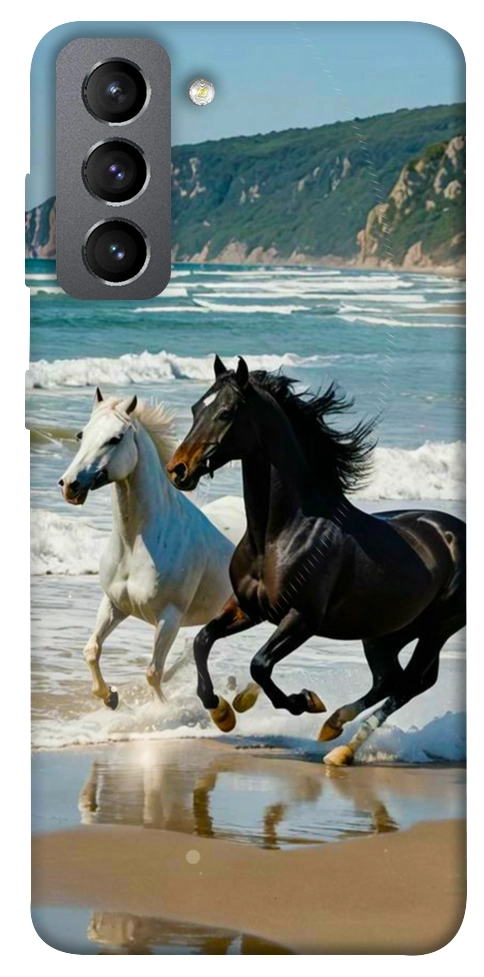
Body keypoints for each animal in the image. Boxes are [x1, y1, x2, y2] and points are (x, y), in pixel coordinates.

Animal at [59, 388, 234, 709]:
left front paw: (161, 711)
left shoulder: (169, 618)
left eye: (115, 438)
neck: (135, 544)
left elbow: (153, 672)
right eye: (81, 434)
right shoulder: (114, 604)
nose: (70, 485)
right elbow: (91, 650)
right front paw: (110, 697)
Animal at [166, 356, 466, 765]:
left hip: (438, 627)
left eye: (226, 412)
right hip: (386, 632)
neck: (279, 534)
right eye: (197, 408)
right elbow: (202, 640)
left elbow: (260, 664)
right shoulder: (249, 608)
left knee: (411, 683)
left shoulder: (302, 618)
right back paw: (334, 728)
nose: (178, 469)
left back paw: (340, 747)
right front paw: (223, 712)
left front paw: (302, 701)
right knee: (390, 679)